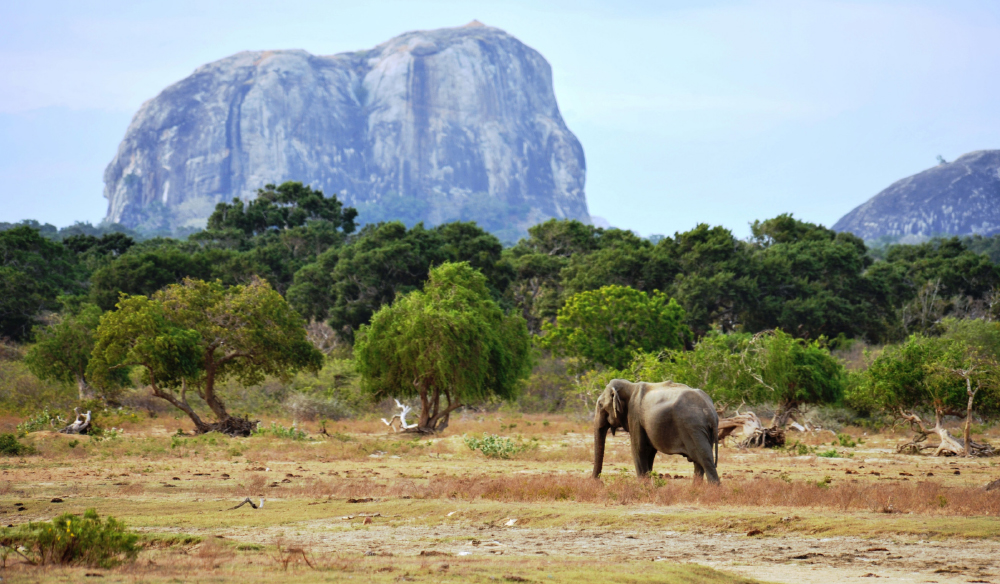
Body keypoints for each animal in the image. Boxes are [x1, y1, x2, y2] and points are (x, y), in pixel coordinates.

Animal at [592, 378, 720, 484]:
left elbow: (638, 449)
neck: (630, 386)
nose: (598, 482)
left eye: (600, 404)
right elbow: (649, 452)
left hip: (693, 427)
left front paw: (643, 488)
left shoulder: (635, 416)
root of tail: (711, 412)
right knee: (700, 463)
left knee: (705, 459)